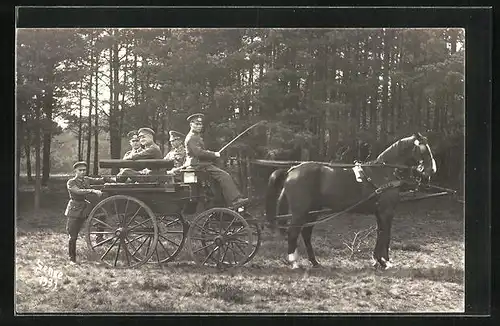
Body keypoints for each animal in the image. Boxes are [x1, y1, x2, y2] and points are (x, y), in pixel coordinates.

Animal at [264, 132, 436, 270]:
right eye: (424, 149)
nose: (431, 171)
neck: (383, 173)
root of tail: (292, 170)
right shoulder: (387, 212)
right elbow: (386, 235)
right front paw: (385, 261)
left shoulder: (380, 213)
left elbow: (380, 233)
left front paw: (377, 260)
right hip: (301, 211)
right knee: (293, 232)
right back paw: (294, 262)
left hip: (313, 211)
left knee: (306, 233)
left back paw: (314, 262)